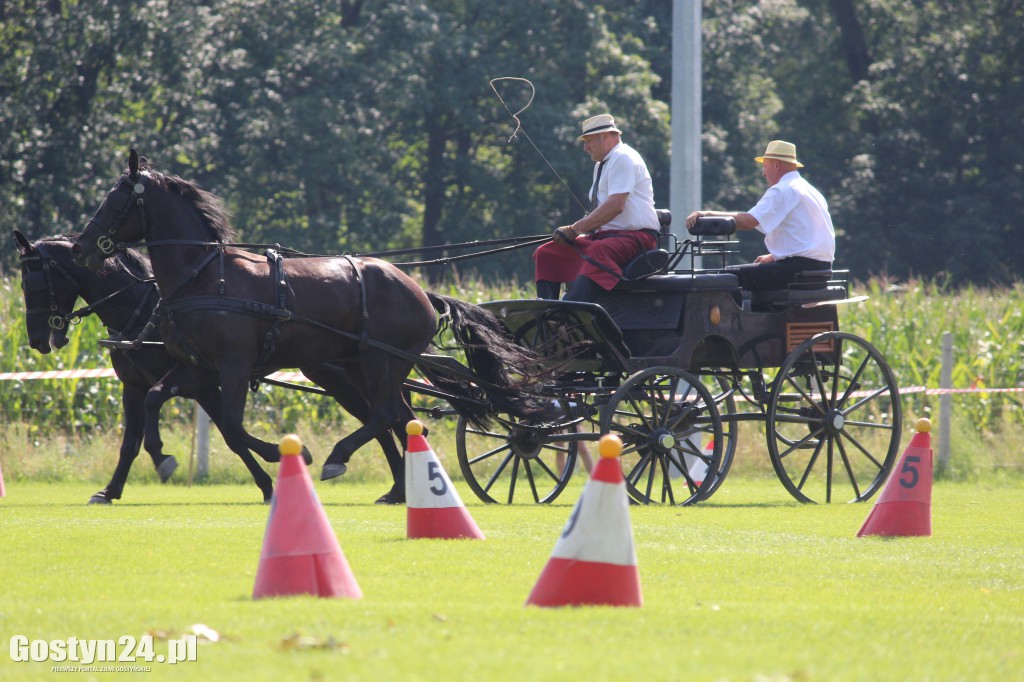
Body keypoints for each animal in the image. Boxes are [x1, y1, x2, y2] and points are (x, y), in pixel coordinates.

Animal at [74, 150, 540, 493]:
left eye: (115, 201)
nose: (81, 247)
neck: (204, 276)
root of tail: (420, 291)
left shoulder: (234, 364)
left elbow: (232, 426)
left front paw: (283, 459)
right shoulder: (196, 366)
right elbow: (156, 399)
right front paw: (162, 456)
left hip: (380, 361)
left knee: (385, 414)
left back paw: (338, 458)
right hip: (367, 365)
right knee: (401, 418)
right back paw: (398, 489)